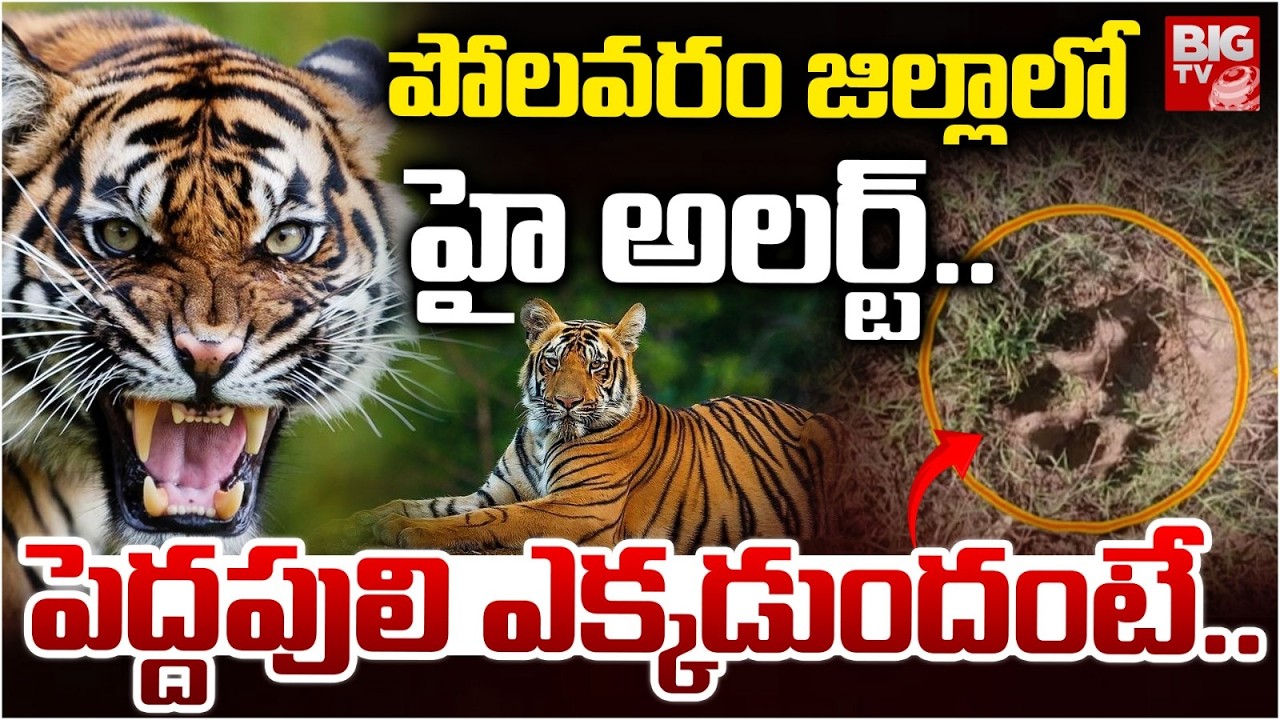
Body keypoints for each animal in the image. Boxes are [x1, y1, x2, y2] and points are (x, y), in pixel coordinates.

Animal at [331, 298, 846, 553]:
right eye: (554, 362)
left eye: (596, 367)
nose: (566, 403)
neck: (543, 435)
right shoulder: (496, 490)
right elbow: (435, 504)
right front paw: (365, 519)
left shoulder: (578, 506)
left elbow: (484, 519)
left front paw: (405, 531)